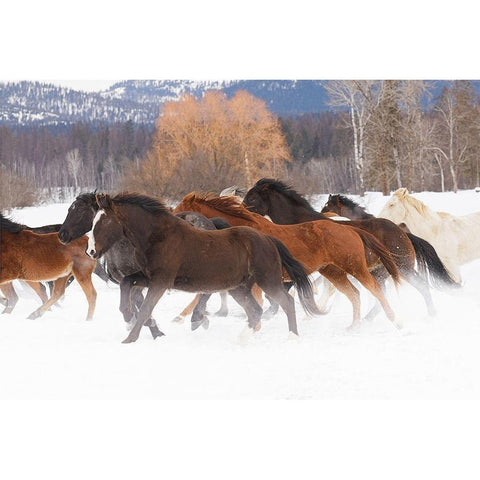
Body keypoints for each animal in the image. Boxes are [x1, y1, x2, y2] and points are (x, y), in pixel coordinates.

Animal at [174, 191, 404, 330]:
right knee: (354, 294)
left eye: (180, 212)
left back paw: (394, 320)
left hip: (354, 267)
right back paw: (354, 326)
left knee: (375, 289)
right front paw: (191, 318)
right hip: (332, 271)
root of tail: (351, 229)